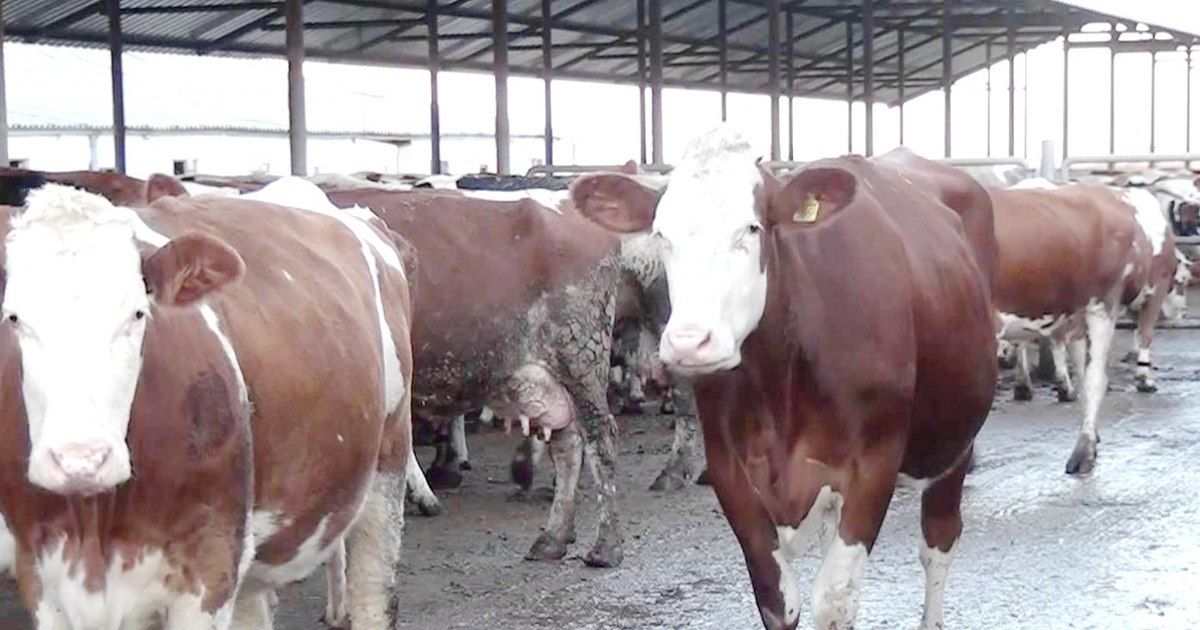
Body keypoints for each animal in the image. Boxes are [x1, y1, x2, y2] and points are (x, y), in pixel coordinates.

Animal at [0, 176, 413, 629]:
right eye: (14, 318)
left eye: (138, 314)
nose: (81, 461)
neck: (94, 523)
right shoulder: (38, 574)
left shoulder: (209, 564)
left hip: (386, 464)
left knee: (372, 593)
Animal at [570, 127, 998, 630]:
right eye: (661, 234)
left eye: (752, 228)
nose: (690, 341)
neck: (781, 387)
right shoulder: (730, 470)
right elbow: (778, 599)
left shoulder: (874, 464)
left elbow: (834, 600)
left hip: (954, 443)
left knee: (938, 543)